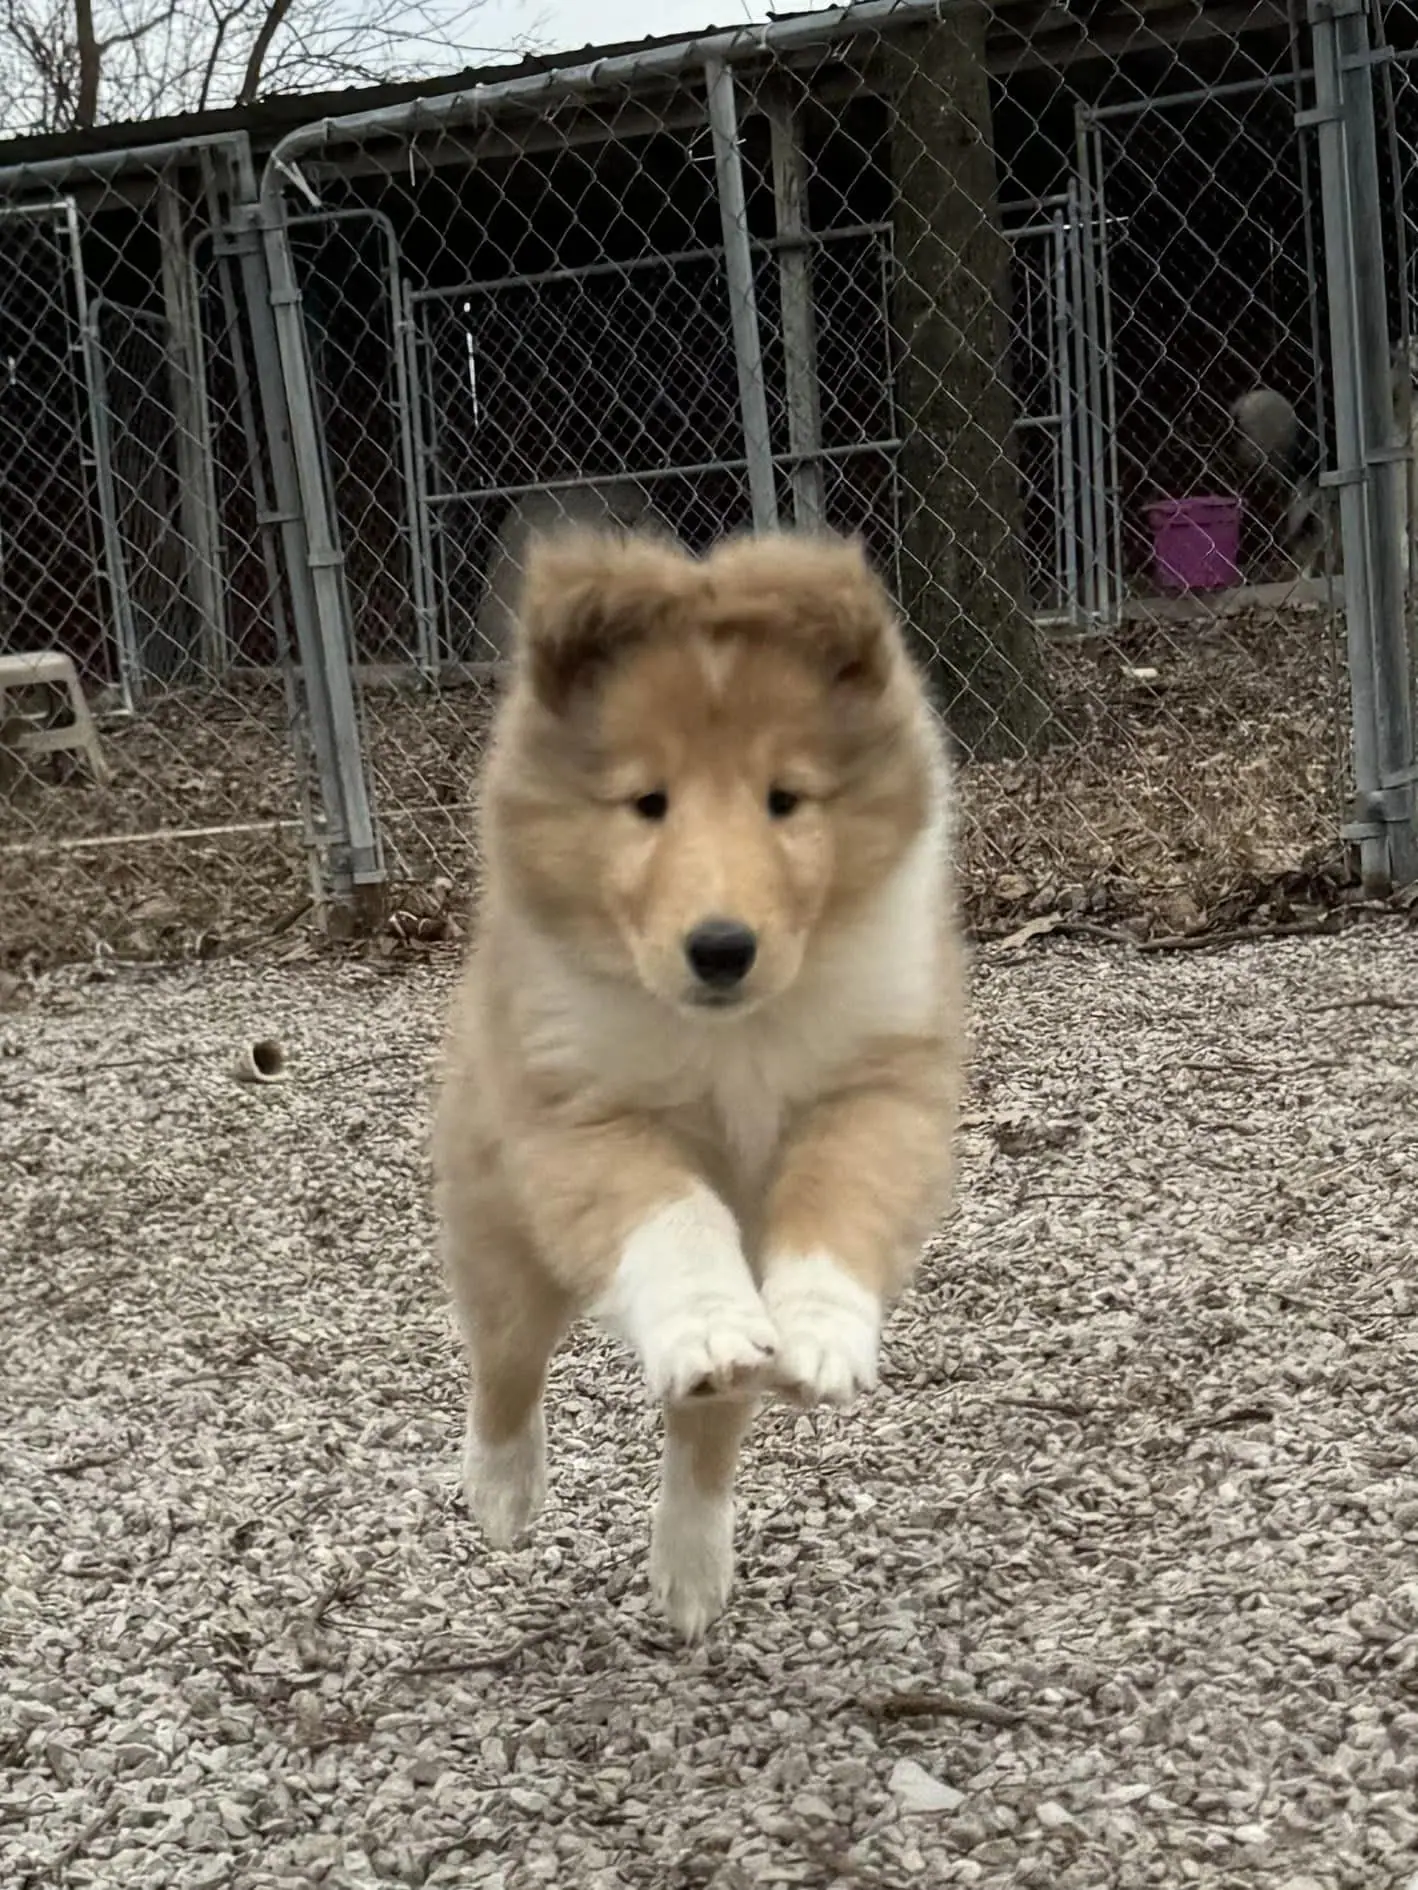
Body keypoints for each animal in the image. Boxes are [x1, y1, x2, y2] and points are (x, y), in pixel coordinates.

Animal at [432, 521, 968, 1640]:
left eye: (785, 799)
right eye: (648, 803)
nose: (721, 948)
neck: (732, 1039)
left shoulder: (878, 1081)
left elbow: (841, 1194)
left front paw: (819, 1335)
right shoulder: (581, 1112)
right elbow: (674, 1218)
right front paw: (710, 1319)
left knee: (707, 1422)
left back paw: (689, 1565)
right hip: (499, 1218)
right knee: (504, 1360)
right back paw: (502, 1492)